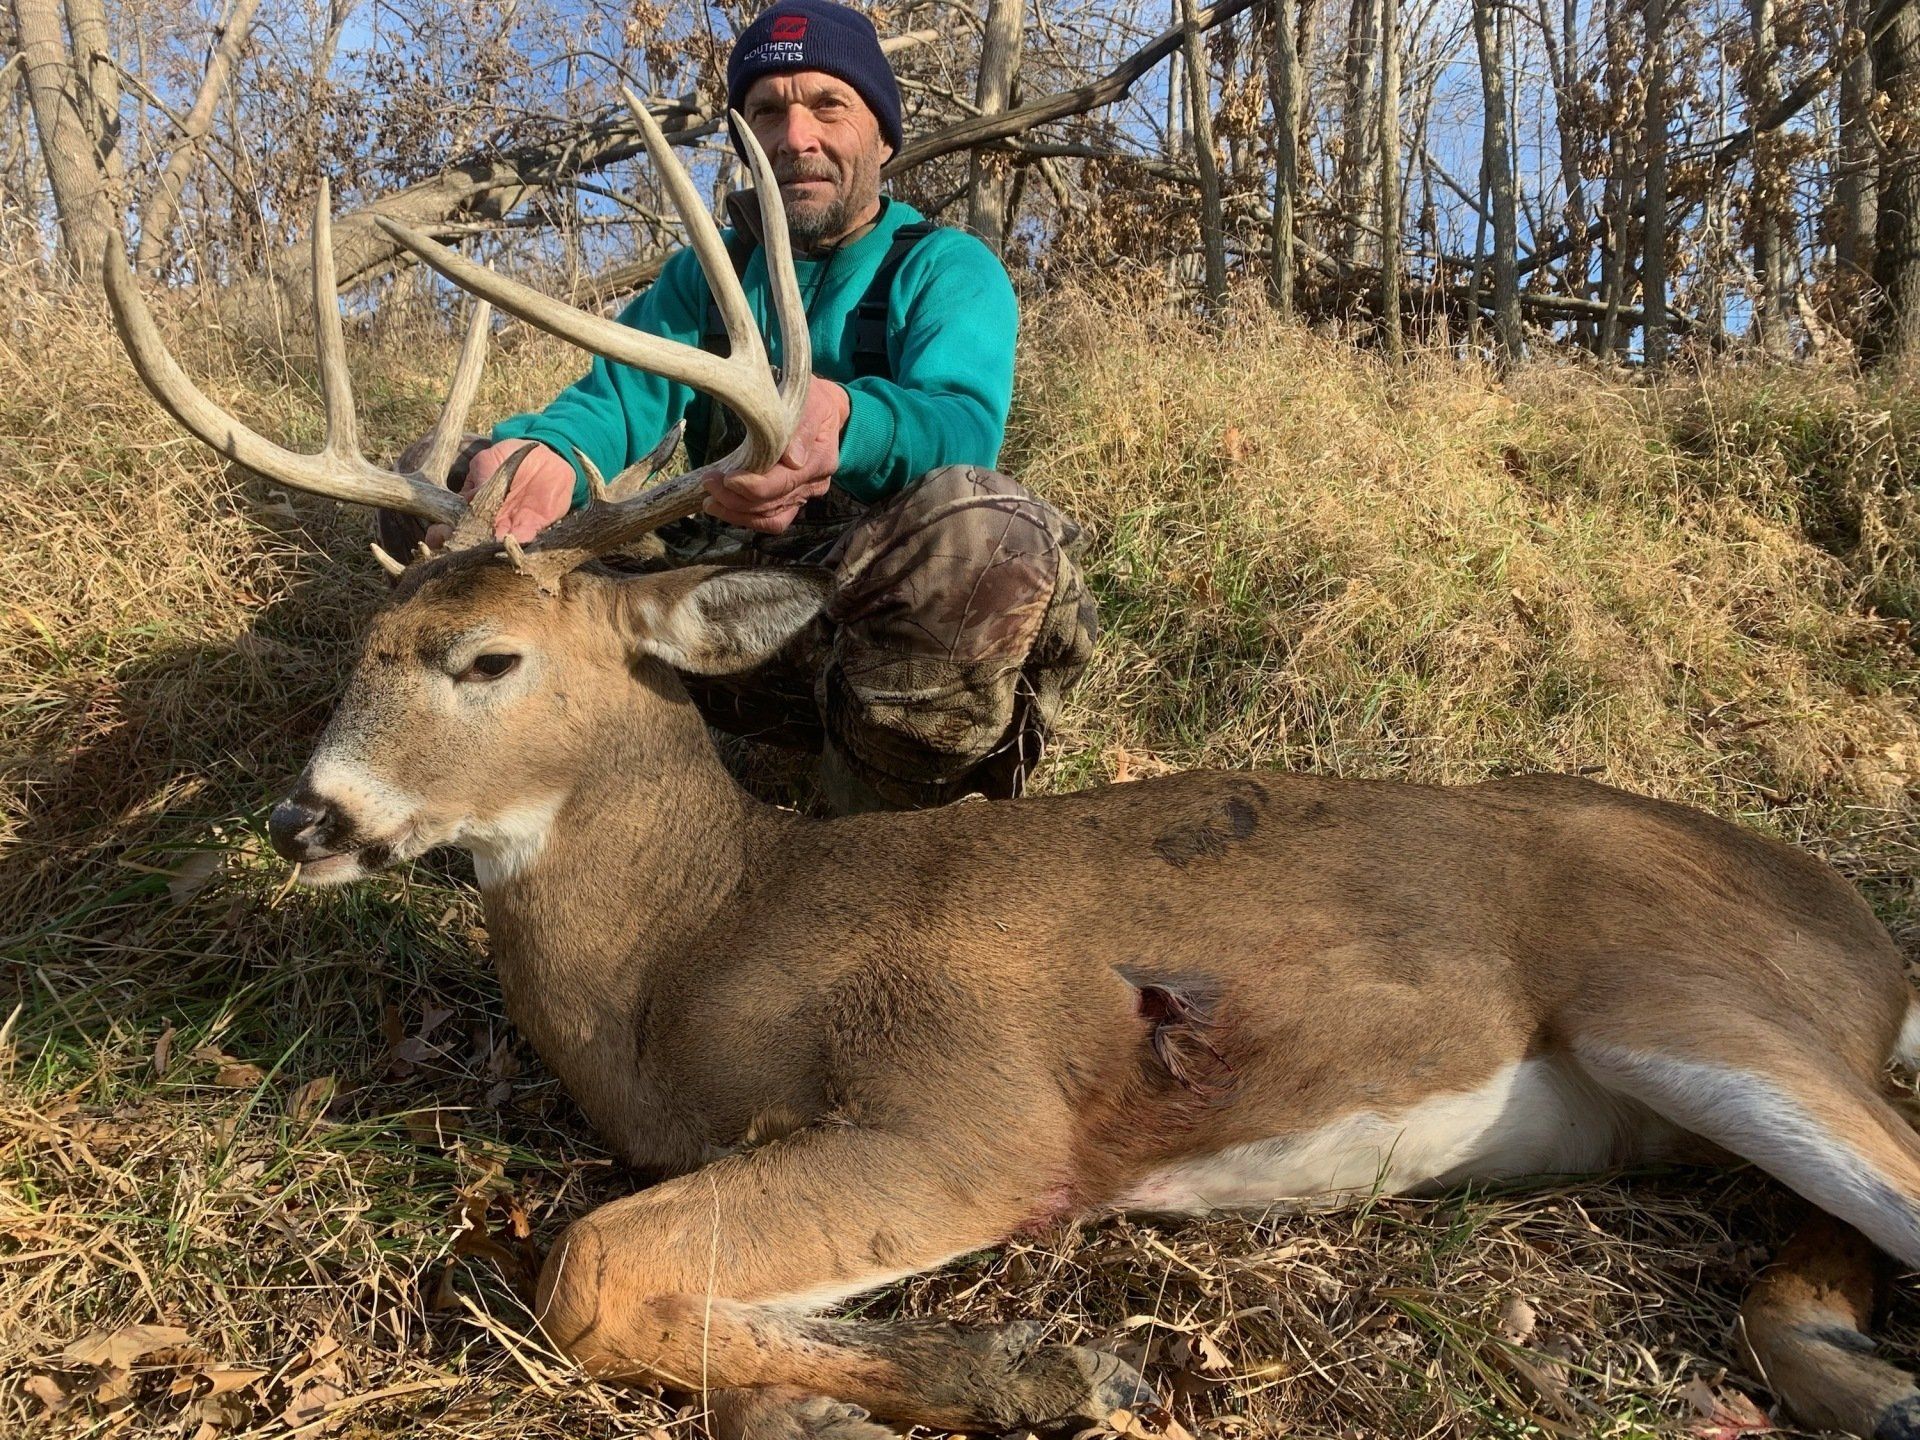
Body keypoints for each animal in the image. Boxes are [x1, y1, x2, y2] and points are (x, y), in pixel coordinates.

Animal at [103, 91, 1920, 1440]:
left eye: (491, 662)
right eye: (366, 650)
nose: (305, 816)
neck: (690, 944)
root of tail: (1858, 923)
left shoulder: (976, 1111)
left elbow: (587, 1268)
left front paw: (1043, 1367)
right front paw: (880, 1391)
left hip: (1688, 999)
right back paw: (1864, 1382)